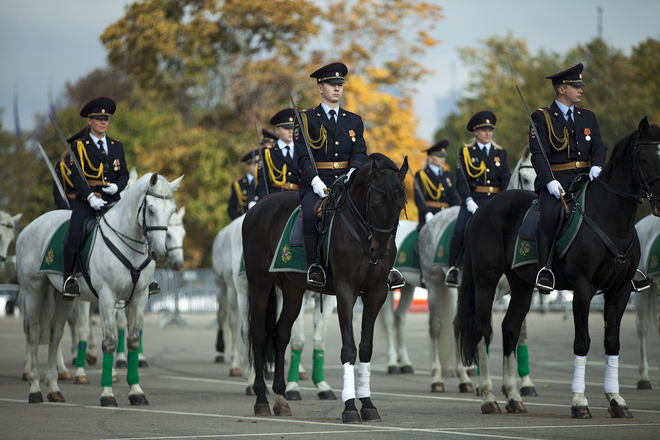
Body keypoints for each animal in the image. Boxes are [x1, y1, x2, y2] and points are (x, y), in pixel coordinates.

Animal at [17, 172, 182, 405]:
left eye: (172, 211)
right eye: (150, 210)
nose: (158, 253)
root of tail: (30, 227)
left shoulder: (139, 297)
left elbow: (132, 340)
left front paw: (136, 391)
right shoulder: (106, 296)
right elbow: (108, 341)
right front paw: (107, 393)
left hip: (63, 297)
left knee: (55, 333)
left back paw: (54, 388)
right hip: (33, 290)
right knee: (34, 333)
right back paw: (35, 389)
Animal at [244, 153, 407, 422]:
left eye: (401, 202)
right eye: (374, 201)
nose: (380, 251)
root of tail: (258, 206)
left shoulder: (376, 294)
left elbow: (366, 348)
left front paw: (367, 404)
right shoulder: (345, 292)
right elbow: (349, 349)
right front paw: (350, 406)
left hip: (293, 289)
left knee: (281, 334)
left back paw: (281, 397)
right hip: (260, 283)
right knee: (259, 335)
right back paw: (261, 400)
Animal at [381, 147, 539, 395]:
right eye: (524, 178)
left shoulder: (519, 290)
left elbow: (519, 332)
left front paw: (525, 383)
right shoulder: (485, 290)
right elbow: (479, 328)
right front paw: (481, 380)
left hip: (413, 288)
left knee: (403, 319)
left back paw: (410, 364)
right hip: (431, 284)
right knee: (419, 324)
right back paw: (416, 371)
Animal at [455, 118, 660, 418]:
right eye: (645, 157)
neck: (612, 218)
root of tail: (482, 209)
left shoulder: (620, 290)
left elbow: (612, 342)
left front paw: (616, 400)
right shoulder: (583, 288)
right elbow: (582, 341)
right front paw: (580, 402)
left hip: (522, 285)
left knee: (510, 330)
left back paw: (513, 396)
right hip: (485, 281)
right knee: (484, 332)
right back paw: (489, 397)